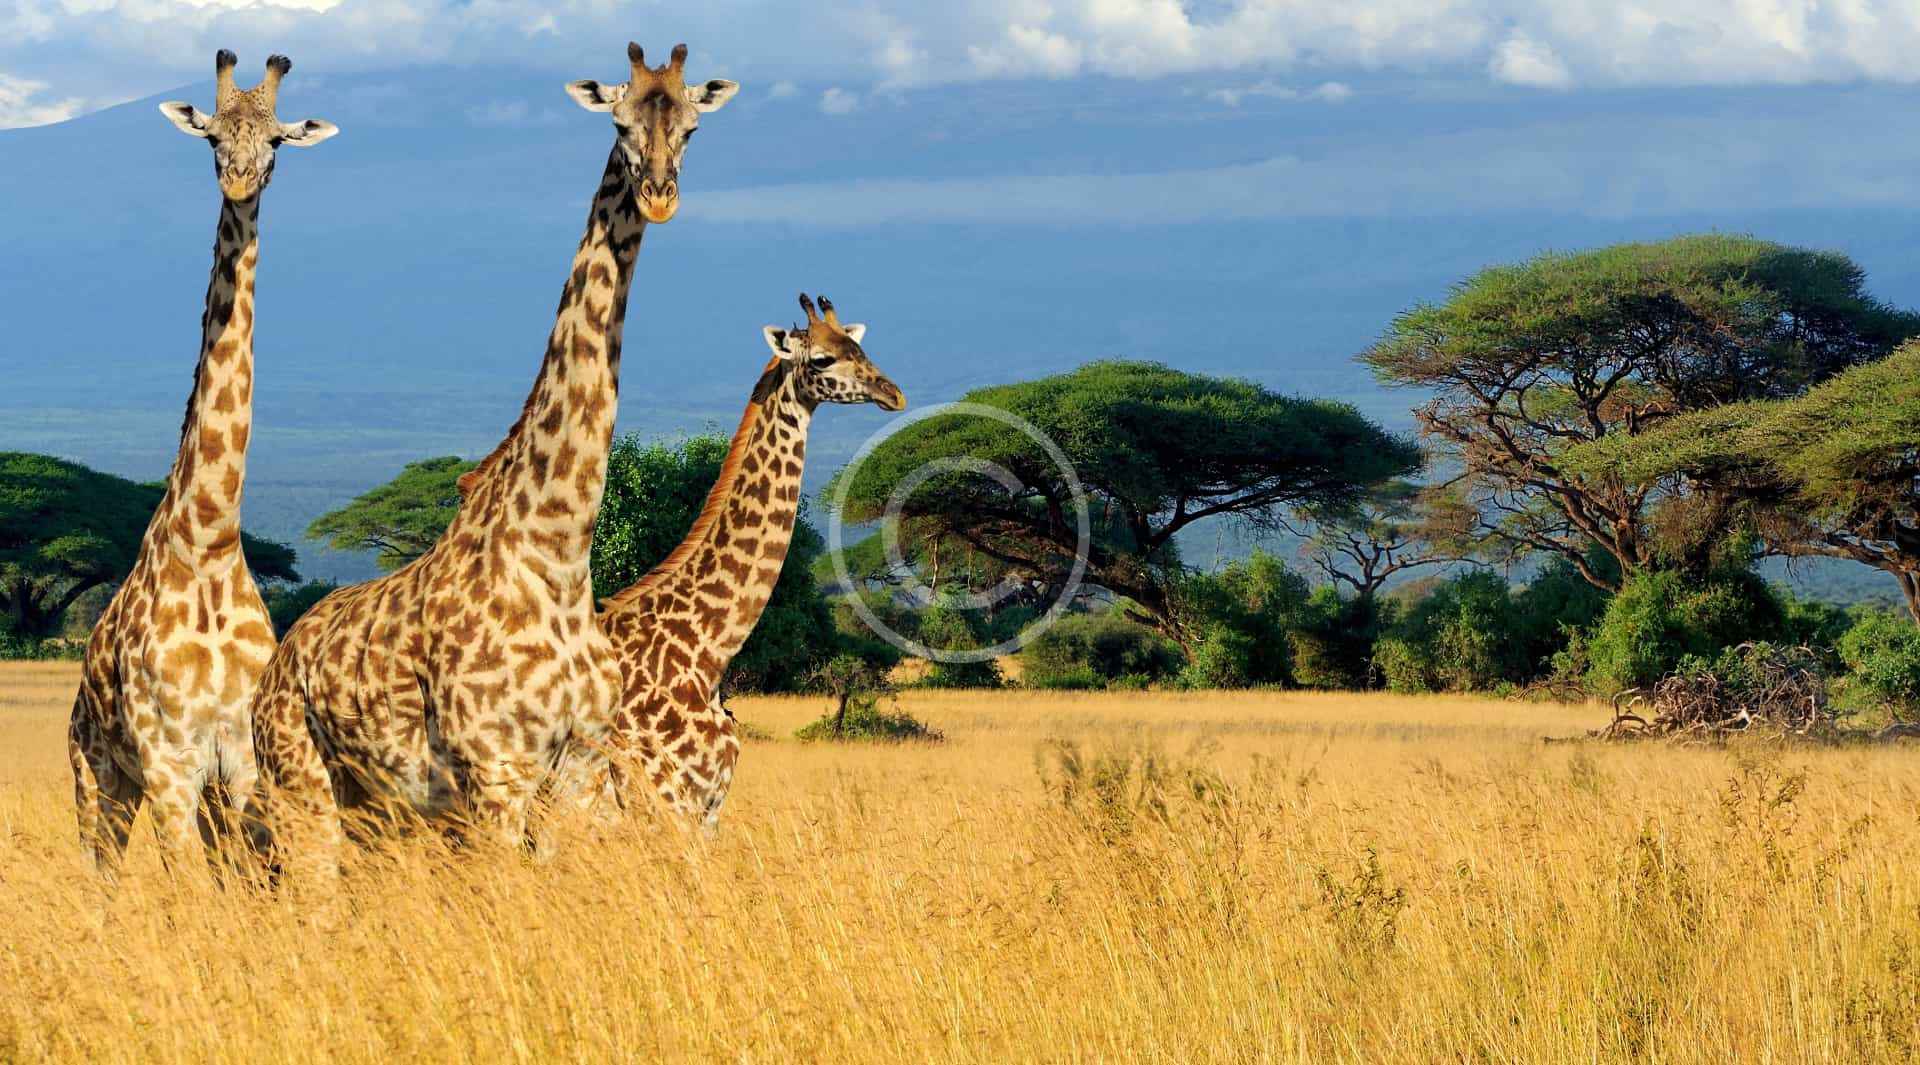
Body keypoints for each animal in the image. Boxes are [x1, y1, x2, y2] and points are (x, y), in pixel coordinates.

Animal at [66, 50, 337, 880]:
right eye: (213, 136)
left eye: (277, 141)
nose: (241, 182)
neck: (211, 538)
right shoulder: (168, 764)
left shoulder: (241, 762)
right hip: (98, 777)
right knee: (102, 874)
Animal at [246, 43, 738, 886]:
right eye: (618, 122)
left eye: (693, 127)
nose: (659, 196)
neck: (558, 552)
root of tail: (277, 666)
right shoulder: (496, 773)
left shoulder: (573, 773)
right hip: (301, 782)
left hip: (376, 807)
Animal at [595, 294, 904, 828]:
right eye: (821, 359)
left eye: (861, 348)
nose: (894, 394)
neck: (707, 652)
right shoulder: (667, 802)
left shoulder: (707, 809)